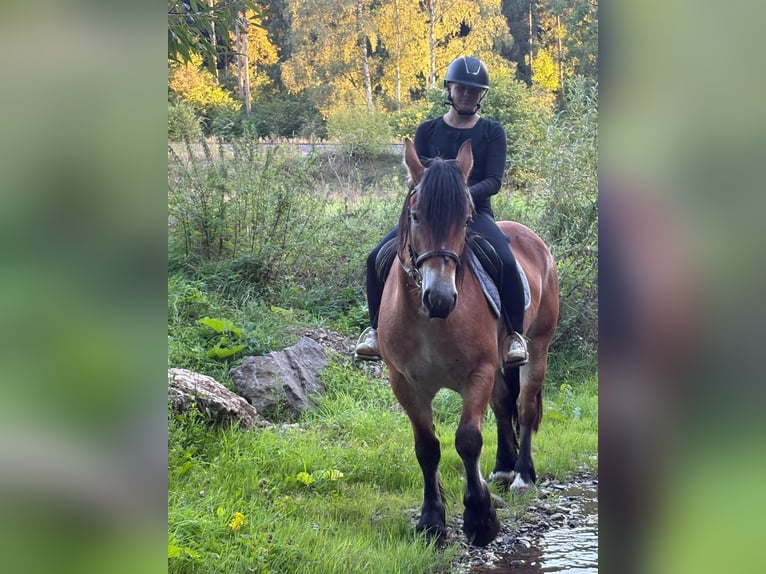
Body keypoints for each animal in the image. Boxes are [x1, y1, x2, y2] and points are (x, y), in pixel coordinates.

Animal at [377, 139, 559, 547]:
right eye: (416, 216)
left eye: (464, 220)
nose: (440, 298)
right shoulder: (405, 383)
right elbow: (427, 448)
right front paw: (431, 521)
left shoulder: (478, 373)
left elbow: (468, 440)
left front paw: (480, 519)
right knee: (504, 403)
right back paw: (503, 469)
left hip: (538, 348)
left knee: (524, 407)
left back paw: (522, 476)